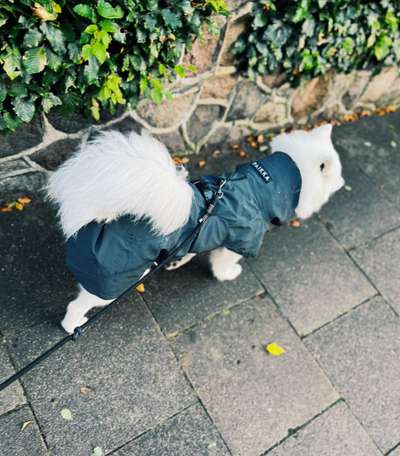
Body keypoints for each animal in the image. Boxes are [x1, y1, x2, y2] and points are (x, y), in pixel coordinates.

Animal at [47, 123, 344, 334]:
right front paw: (228, 274)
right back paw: (72, 326)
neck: (268, 184)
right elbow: (224, 262)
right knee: (77, 305)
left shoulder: (194, 237)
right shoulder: (239, 240)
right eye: (337, 174)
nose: (343, 183)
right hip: (114, 285)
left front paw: (178, 262)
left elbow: (189, 251)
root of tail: (96, 218)